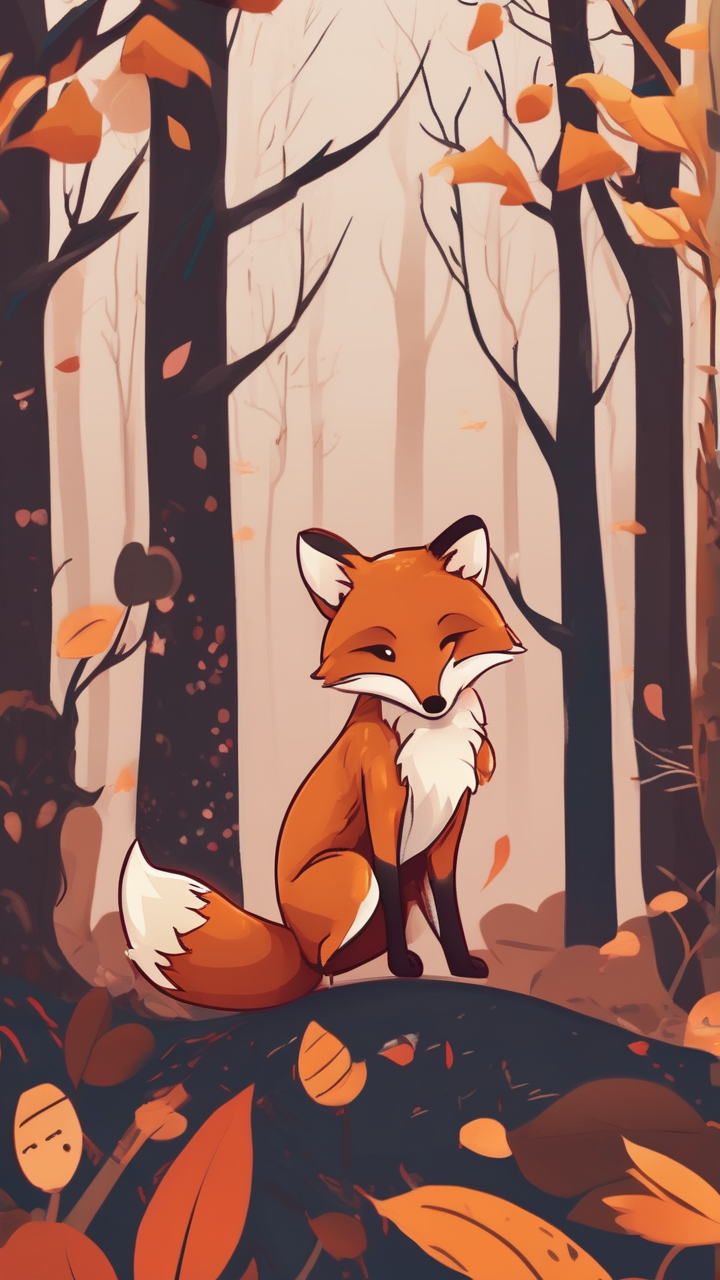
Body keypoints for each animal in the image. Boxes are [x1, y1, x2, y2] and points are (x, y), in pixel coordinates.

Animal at [120, 515, 524, 1010]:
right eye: (384, 653)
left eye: (450, 640)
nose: (434, 703)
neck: (434, 744)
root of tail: (293, 941)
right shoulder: (383, 801)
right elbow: (390, 880)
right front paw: (401, 966)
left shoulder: (453, 816)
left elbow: (449, 902)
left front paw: (462, 965)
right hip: (354, 871)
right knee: (328, 962)